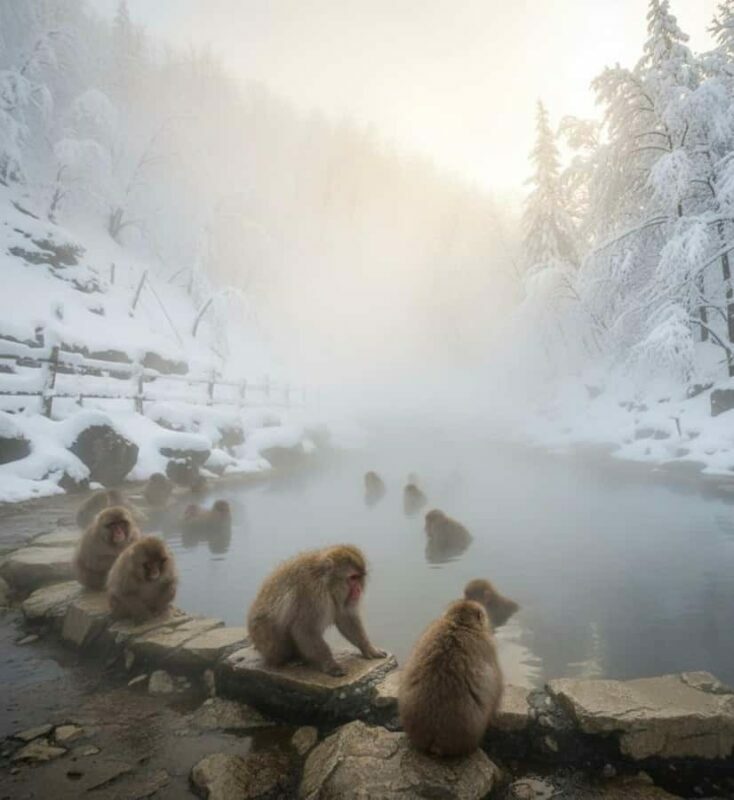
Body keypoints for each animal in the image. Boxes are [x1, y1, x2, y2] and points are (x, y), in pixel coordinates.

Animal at [247, 544, 386, 676]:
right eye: (352, 577)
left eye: (359, 578)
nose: (358, 590)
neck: (326, 584)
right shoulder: (312, 595)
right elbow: (305, 630)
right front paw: (331, 665)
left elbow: (346, 618)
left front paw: (368, 648)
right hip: (264, 639)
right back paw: (289, 659)